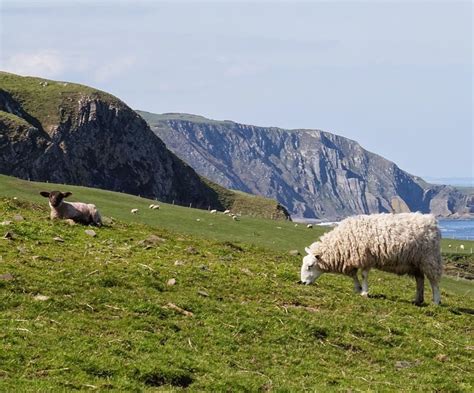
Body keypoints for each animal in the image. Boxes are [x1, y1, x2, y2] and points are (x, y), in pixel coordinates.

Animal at [302, 213, 442, 304]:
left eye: (310, 266)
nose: (302, 282)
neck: (341, 242)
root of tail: (431, 220)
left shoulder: (365, 257)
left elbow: (363, 275)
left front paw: (364, 292)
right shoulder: (354, 258)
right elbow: (353, 275)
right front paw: (358, 288)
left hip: (429, 258)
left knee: (434, 281)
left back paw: (436, 301)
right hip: (416, 262)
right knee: (420, 279)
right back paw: (418, 300)